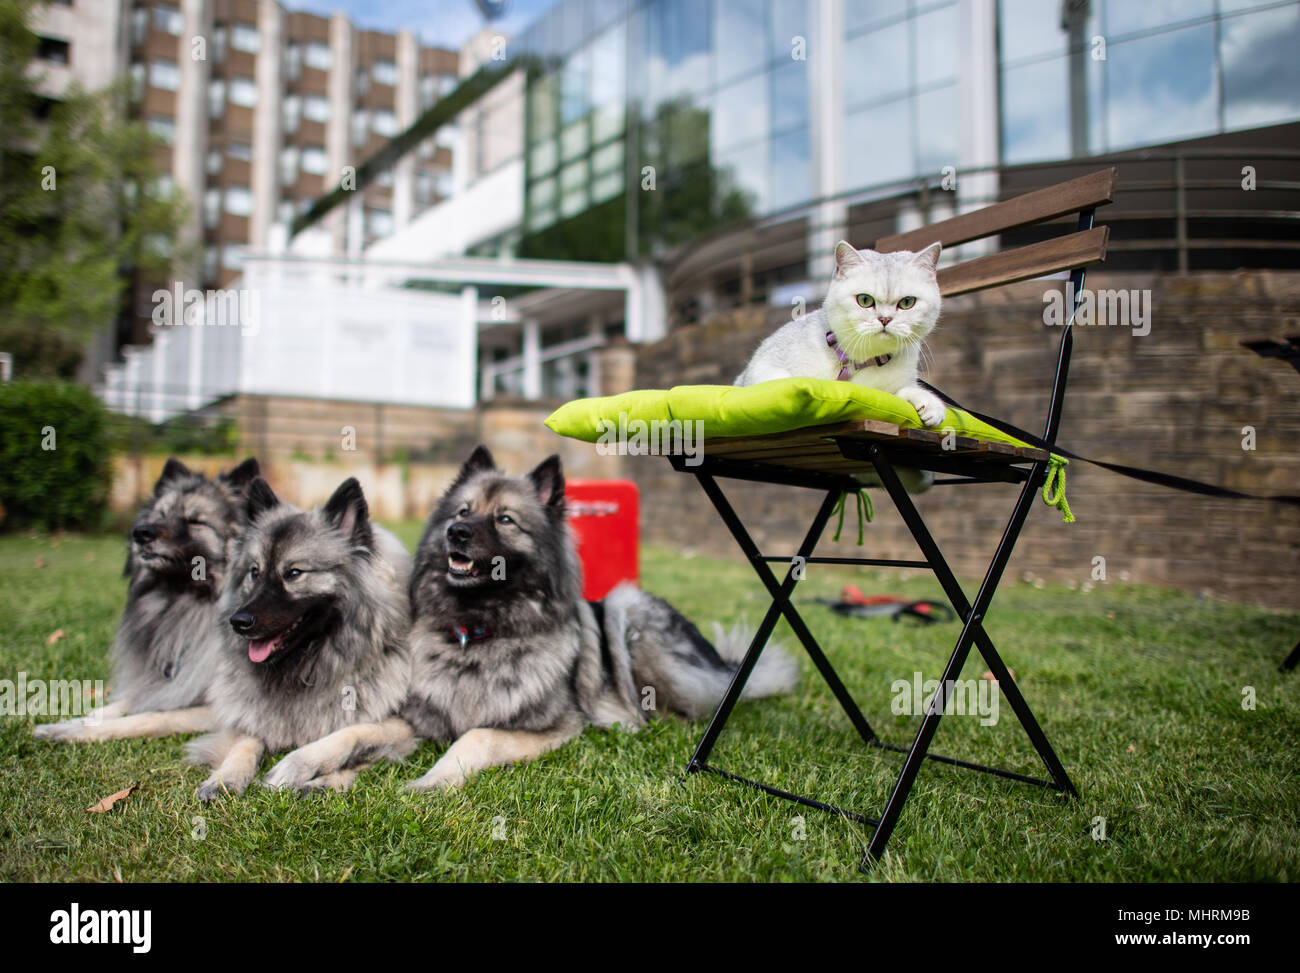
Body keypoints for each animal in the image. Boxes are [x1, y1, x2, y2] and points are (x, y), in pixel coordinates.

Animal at [34, 460, 258, 738]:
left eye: (196, 521)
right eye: (160, 515)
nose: (141, 533)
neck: (186, 603)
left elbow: (150, 716)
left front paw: (77, 732)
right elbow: (129, 701)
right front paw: (78, 720)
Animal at [184, 476, 410, 801]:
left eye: (293, 573)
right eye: (254, 572)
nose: (238, 622)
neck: (308, 666)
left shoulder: (403, 726)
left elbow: (349, 733)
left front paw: (296, 768)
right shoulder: (248, 715)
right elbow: (245, 740)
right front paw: (225, 778)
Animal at [397, 447, 800, 790]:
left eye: (505, 519)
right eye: (462, 512)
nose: (456, 532)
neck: (480, 628)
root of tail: (723, 663)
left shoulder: (554, 726)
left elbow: (476, 736)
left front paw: (432, 780)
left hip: (627, 610)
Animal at [738, 239, 941, 426]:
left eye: (907, 302)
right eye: (865, 300)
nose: (885, 319)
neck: (862, 361)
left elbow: (903, 391)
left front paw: (928, 403)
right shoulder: (761, 369)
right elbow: (781, 381)